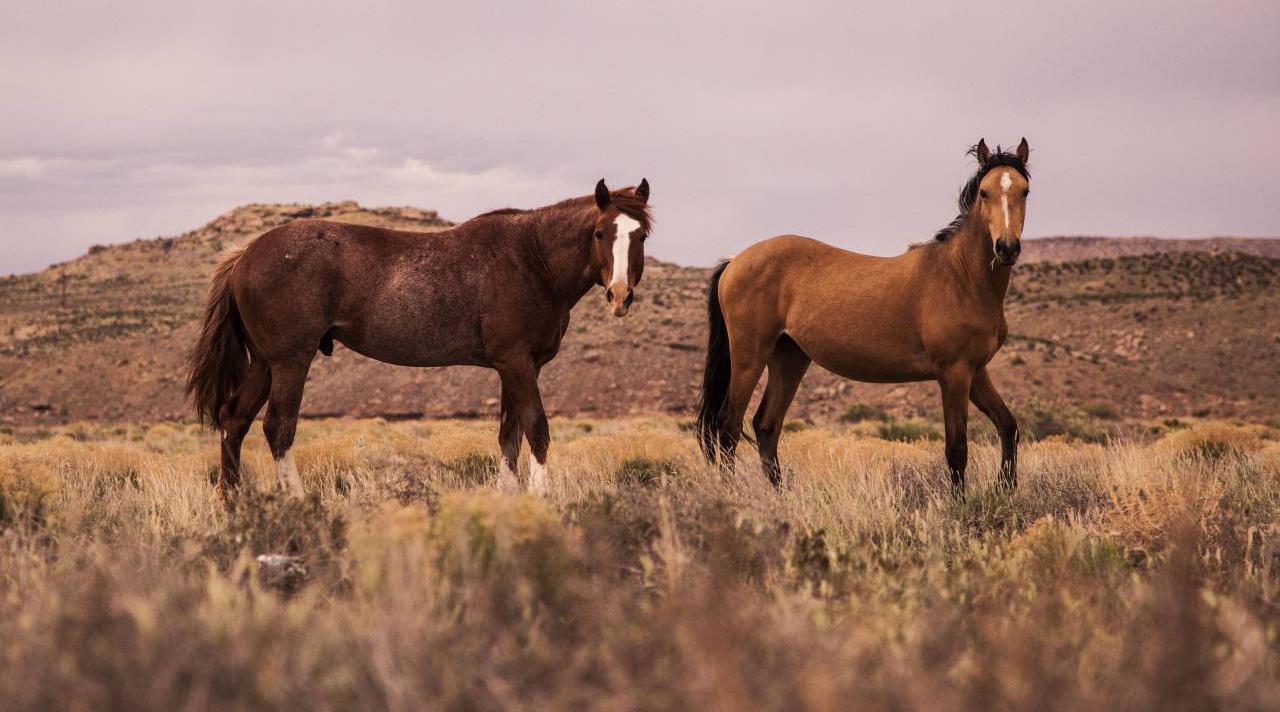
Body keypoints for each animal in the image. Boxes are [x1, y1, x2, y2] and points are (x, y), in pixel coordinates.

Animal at [185, 180, 655, 496]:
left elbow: (509, 435)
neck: (532, 258)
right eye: (600, 233)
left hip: (264, 363)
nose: (619, 295)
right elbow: (537, 429)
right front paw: (540, 498)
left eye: (641, 235)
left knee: (233, 420)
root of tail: (246, 254)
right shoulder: (517, 363)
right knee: (277, 428)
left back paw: (234, 503)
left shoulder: (515, 368)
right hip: (289, 362)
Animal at [696, 142, 1034, 491]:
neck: (961, 277)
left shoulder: (976, 371)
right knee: (727, 427)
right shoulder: (954, 373)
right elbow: (956, 450)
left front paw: (1006, 489)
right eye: (984, 192)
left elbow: (1009, 427)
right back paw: (732, 493)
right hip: (749, 357)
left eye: (1024, 191)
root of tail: (736, 261)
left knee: (766, 425)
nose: (1006, 248)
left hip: (789, 357)